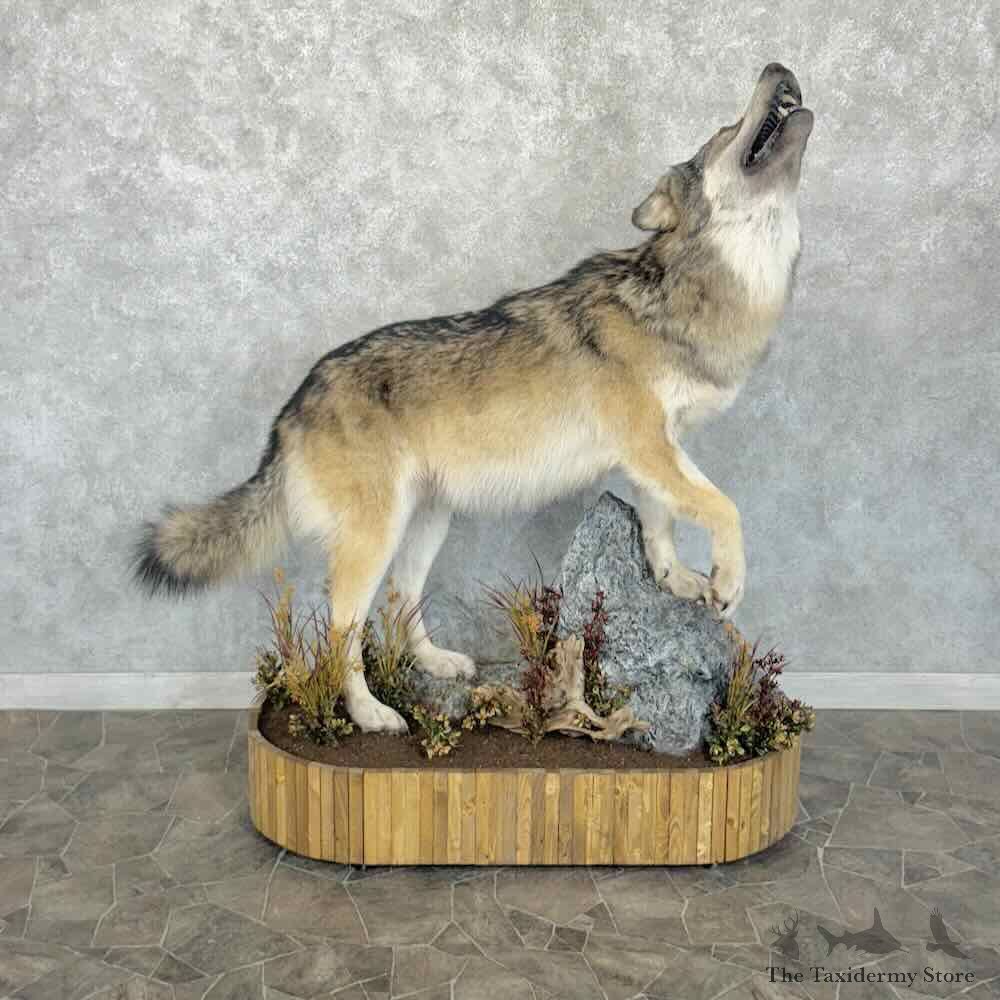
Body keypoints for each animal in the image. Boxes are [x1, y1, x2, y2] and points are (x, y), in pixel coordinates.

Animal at [134, 63, 813, 733]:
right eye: (726, 128)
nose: (776, 66)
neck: (694, 294)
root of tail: (290, 409)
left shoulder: (652, 452)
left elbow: (661, 522)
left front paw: (677, 580)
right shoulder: (649, 444)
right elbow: (725, 508)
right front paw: (727, 582)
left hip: (426, 523)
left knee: (399, 604)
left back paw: (438, 664)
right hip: (372, 541)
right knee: (340, 637)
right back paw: (372, 714)